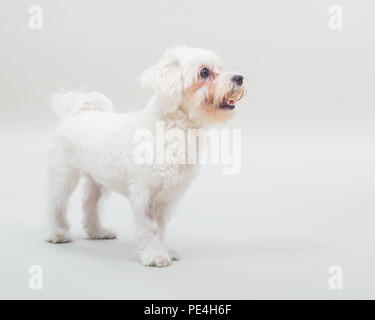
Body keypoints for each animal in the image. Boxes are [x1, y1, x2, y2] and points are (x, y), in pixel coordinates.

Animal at [46, 46, 247, 266]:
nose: (239, 77)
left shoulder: (165, 198)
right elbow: (149, 228)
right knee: (57, 203)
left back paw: (97, 231)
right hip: (64, 175)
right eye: (204, 72)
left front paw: (163, 249)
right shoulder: (145, 195)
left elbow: (159, 228)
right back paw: (57, 233)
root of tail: (79, 113)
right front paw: (154, 254)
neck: (170, 129)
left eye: (220, 67)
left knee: (89, 203)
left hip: (97, 180)